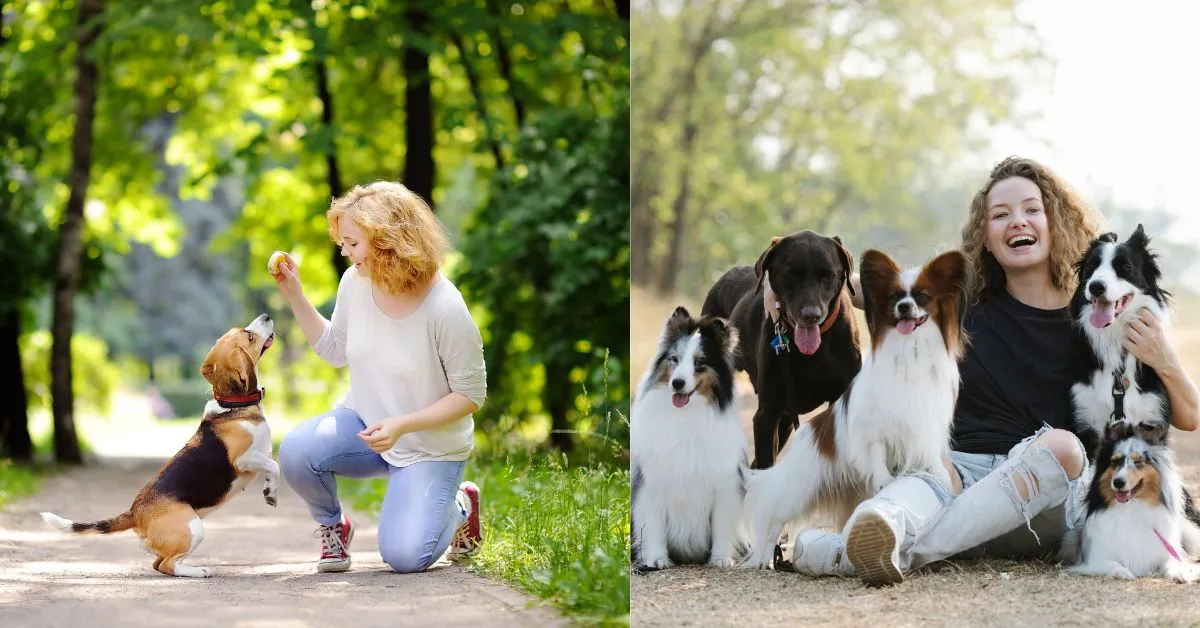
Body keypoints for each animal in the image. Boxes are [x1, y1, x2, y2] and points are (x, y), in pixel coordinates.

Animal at [42, 314, 280, 581]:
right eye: (249, 336)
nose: (266, 316)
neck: (232, 405)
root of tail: (134, 512)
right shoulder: (244, 459)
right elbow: (275, 465)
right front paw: (271, 493)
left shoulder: (262, 454)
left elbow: (271, 466)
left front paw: (269, 491)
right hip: (193, 528)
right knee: (167, 565)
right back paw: (199, 571)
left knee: (158, 563)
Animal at [633, 307, 744, 571]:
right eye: (674, 358)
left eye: (700, 362)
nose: (677, 384)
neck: (685, 416)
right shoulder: (652, 482)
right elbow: (654, 524)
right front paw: (657, 558)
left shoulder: (724, 483)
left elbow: (722, 524)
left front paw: (721, 558)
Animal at [739, 250, 964, 569]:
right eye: (895, 297)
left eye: (922, 296)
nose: (904, 307)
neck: (911, 350)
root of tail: (807, 432)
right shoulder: (873, 430)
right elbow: (878, 454)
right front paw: (884, 479)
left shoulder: (926, 423)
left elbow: (930, 455)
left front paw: (939, 476)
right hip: (799, 488)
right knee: (773, 516)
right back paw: (763, 558)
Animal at [1060, 420, 1200, 583]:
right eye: (1114, 461)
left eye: (1138, 461)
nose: (1118, 482)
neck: (1131, 507)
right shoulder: (1094, 559)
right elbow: (1112, 564)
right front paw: (1124, 572)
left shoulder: (1166, 550)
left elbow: (1171, 562)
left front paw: (1181, 572)